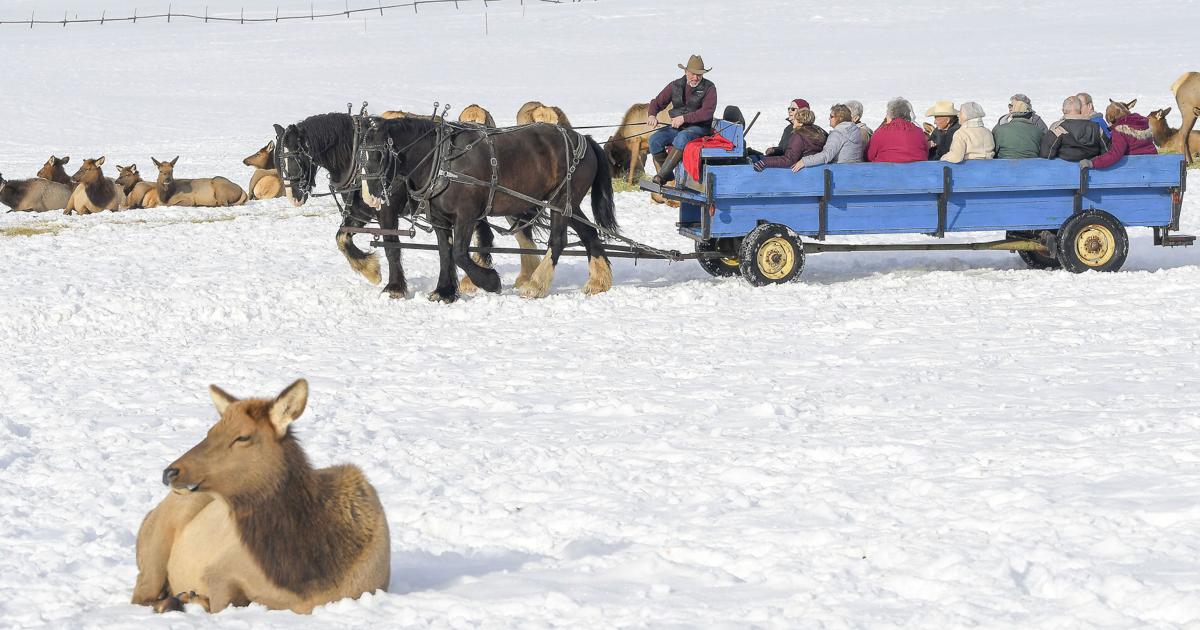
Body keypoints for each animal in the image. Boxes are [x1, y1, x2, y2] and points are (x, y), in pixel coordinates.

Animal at [132, 379, 391, 614]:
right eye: (211, 431)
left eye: (243, 437)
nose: (170, 472)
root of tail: (149, 514)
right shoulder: (218, 570)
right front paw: (192, 598)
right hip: (155, 547)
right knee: (141, 596)